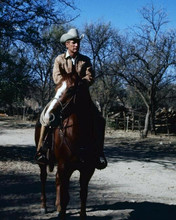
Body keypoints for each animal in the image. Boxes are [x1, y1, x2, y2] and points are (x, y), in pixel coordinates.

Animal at [34, 73, 96, 219]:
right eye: (56, 88)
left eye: (70, 89)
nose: (49, 116)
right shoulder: (65, 167)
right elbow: (65, 196)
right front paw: (61, 211)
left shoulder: (88, 169)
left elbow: (83, 194)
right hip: (44, 163)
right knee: (43, 178)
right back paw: (44, 206)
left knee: (57, 180)